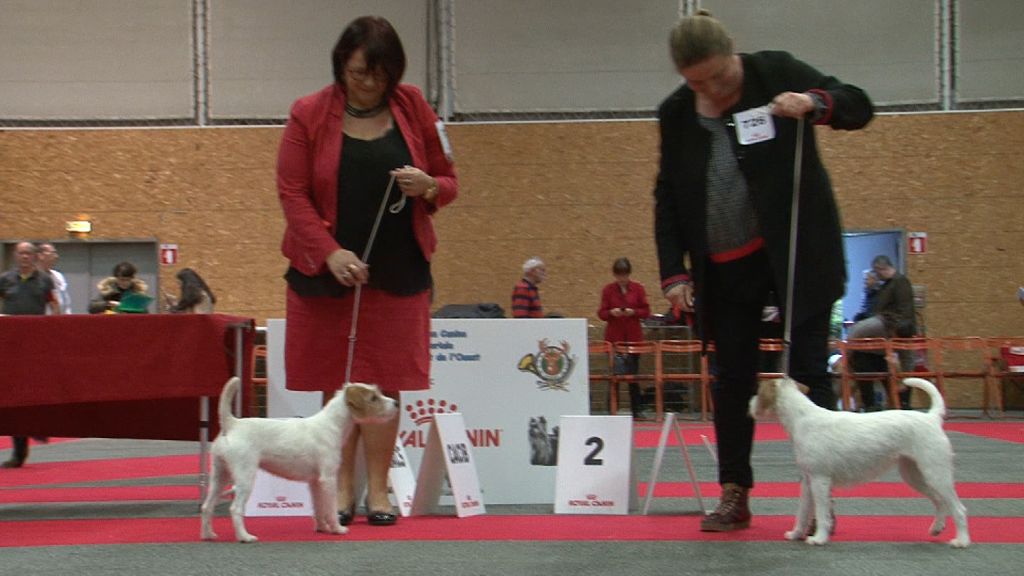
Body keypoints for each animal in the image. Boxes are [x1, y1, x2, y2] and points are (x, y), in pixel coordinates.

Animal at [200, 377, 397, 543]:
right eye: (373, 398)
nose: (396, 403)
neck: (332, 425)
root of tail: (232, 424)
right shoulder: (328, 479)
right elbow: (330, 508)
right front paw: (337, 528)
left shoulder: (315, 482)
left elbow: (318, 507)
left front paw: (322, 527)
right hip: (245, 476)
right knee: (235, 509)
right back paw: (244, 536)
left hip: (220, 475)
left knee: (206, 506)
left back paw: (208, 534)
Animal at [749, 377, 970, 547]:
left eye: (758, 390)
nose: (750, 404)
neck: (801, 419)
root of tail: (932, 418)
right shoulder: (807, 481)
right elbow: (802, 512)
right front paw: (795, 534)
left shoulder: (820, 480)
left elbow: (821, 513)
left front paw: (819, 538)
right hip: (915, 474)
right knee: (940, 501)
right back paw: (937, 528)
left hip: (936, 473)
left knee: (958, 509)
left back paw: (961, 541)